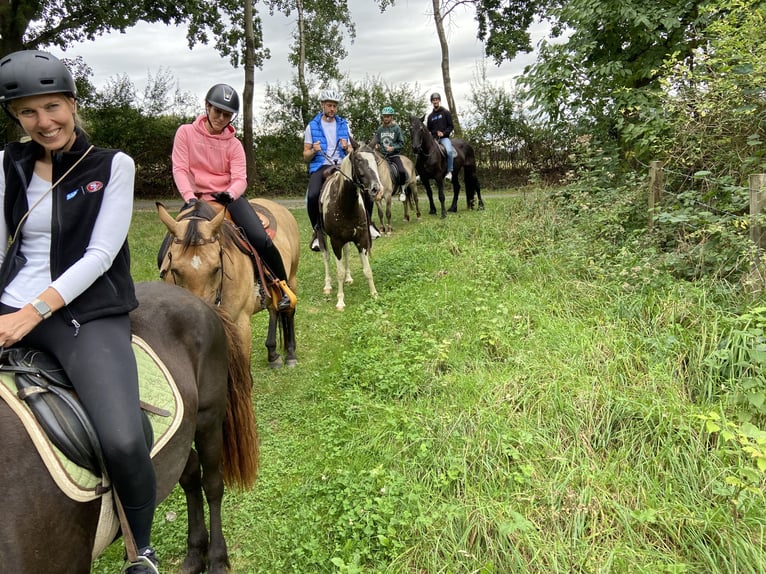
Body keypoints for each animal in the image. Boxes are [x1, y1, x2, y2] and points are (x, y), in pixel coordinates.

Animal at [0, 284, 260, 574]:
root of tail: (197, 299)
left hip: (209, 417)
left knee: (212, 483)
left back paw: (216, 560)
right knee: (189, 471)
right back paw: (194, 555)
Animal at [158, 198, 300, 368]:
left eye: (217, 268)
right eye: (174, 270)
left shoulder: (240, 324)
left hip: (291, 277)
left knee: (288, 309)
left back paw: (291, 354)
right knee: (273, 308)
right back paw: (272, 353)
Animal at [318, 142, 384, 312]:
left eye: (375, 160)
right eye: (359, 160)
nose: (377, 189)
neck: (344, 204)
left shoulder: (362, 240)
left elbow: (367, 269)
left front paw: (374, 294)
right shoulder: (335, 241)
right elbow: (339, 271)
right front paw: (340, 301)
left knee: (346, 253)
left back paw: (348, 278)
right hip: (321, 234)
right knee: (326, 256)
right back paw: (327, 285)